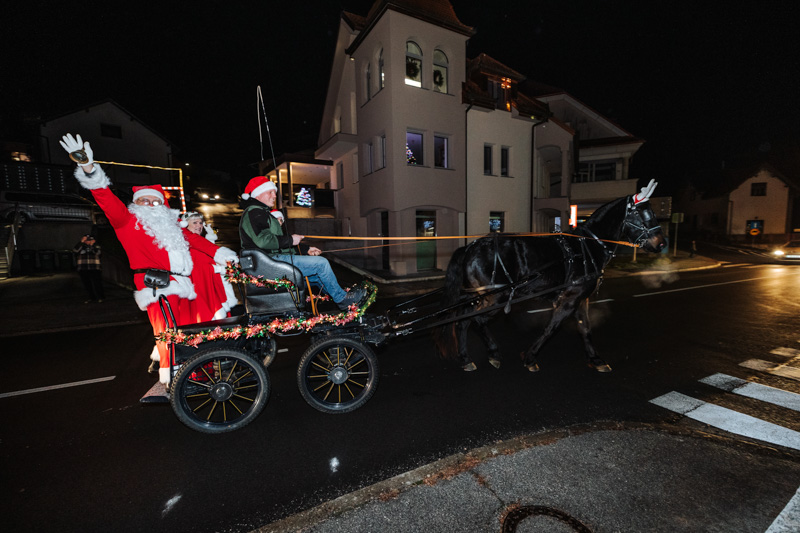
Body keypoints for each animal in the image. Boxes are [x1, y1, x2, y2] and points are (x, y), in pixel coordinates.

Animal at [433, 180, 667, 373]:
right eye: (644, 214)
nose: (661, 243)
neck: (587, 245)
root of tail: (470, 247)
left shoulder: (580, 298)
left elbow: (585, 328)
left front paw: (596, 359)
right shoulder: (569, 299)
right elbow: (551, 328)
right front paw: (530, 357)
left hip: (480, 296)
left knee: (463, 321)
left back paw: (466, 359)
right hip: (496, 297)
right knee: (477, 320)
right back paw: (493, 353)